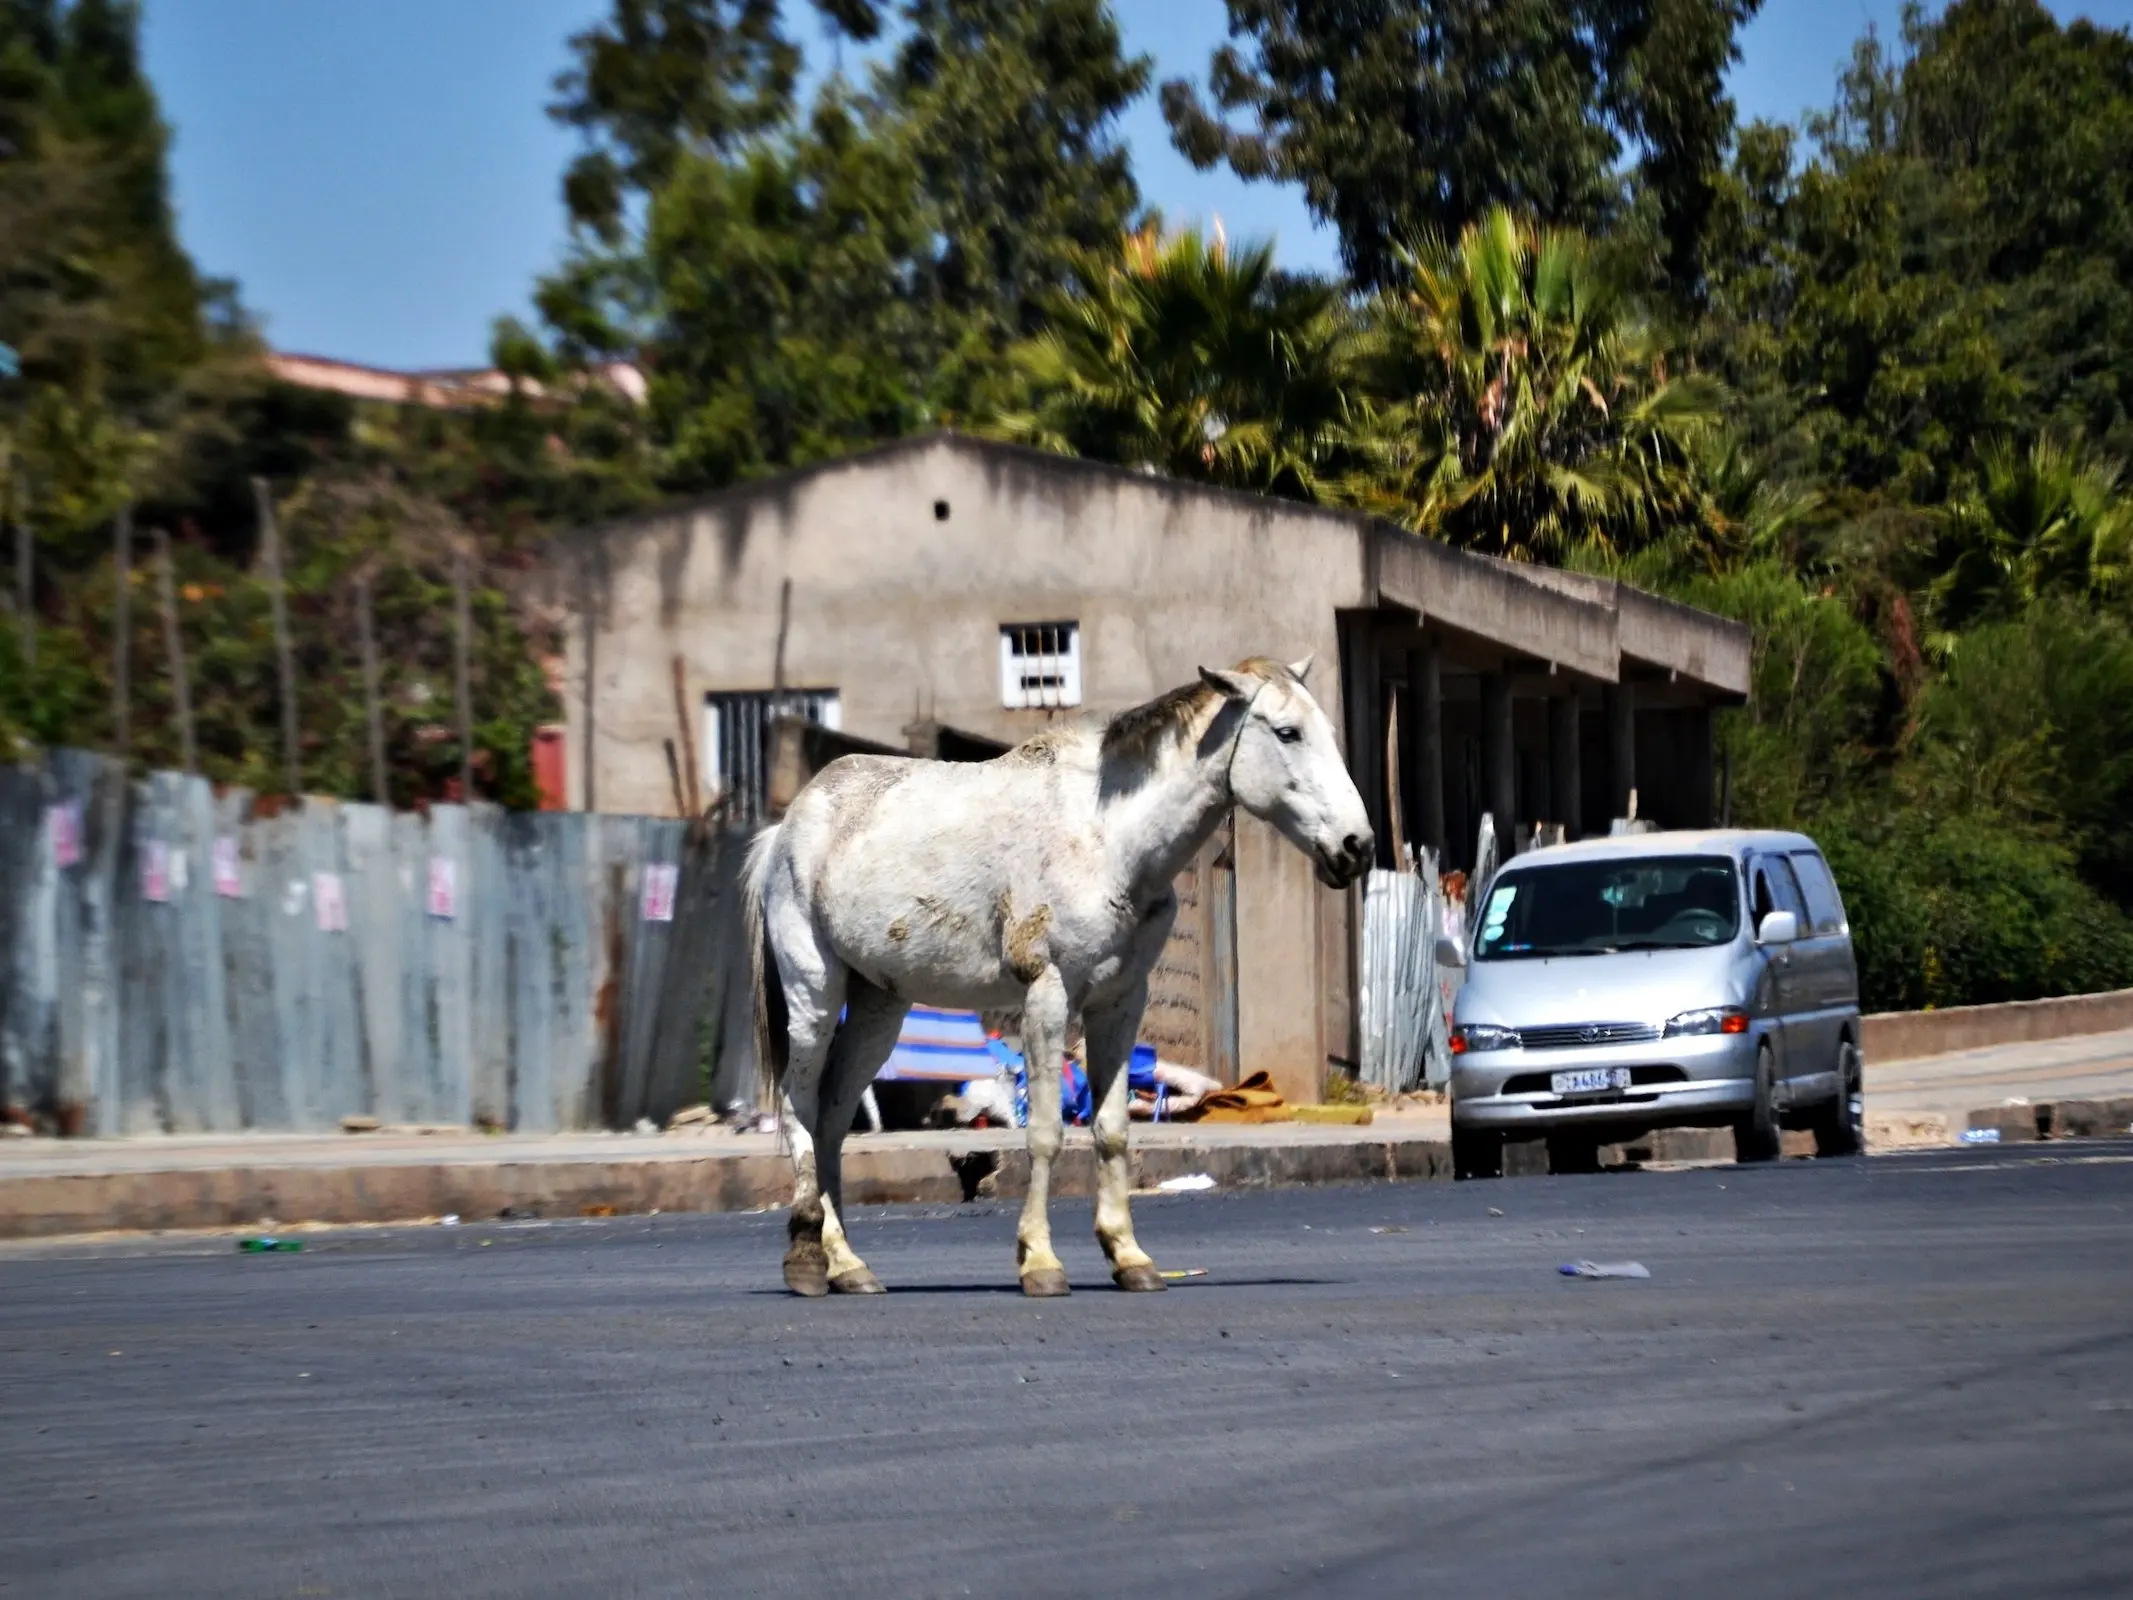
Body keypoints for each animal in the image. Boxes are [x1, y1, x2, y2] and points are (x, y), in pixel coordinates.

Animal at [742, 657, 1373, 1297]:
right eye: (1288, 733)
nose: (1358, 846)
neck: (1107, 838)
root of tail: (786, 827)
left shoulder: (1120, 1002)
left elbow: (1112, 1129)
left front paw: (1128, 1255)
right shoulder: (1047, 996)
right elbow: (1044, 1132)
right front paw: (1040, 1261)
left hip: (878, 1007)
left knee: (833, 1116)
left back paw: (847, 1264)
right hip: (816, 994)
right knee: (800, 1105)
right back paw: (807, 1258)